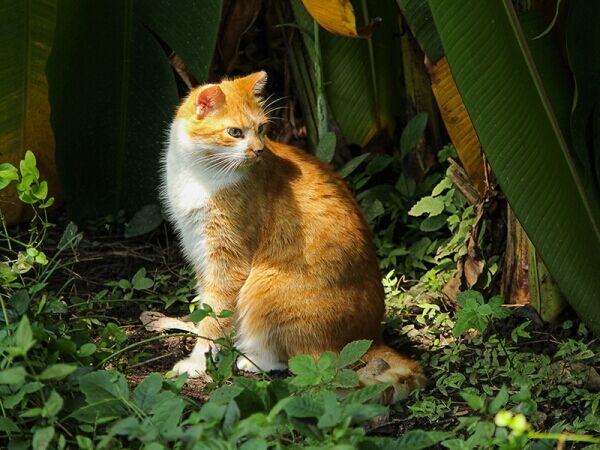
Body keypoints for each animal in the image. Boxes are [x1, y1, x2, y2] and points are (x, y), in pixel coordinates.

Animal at [142, 72, 424, 402]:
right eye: (235, 132)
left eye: (261, 129)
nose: (258, 151)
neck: (200, 174)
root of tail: (372, 337)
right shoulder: (200, 252)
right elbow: (205, 311)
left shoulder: (227, 262)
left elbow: (213, 319)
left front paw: (197, 362)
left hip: (265, 288)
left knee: (298, 359)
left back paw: (252, 359)